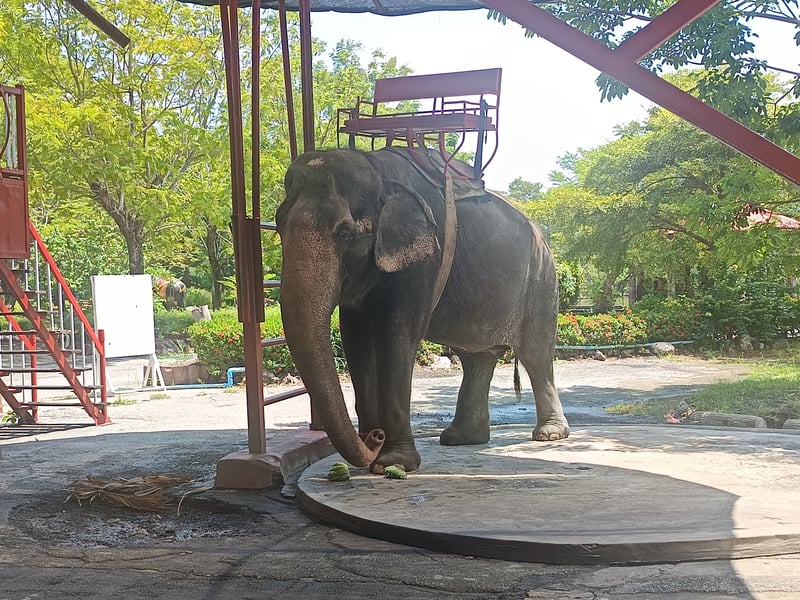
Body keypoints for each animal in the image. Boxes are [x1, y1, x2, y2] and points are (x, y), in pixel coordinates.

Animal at [276, 147, 569, 474]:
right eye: (278, 225)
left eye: (344, 232)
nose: (373, 437)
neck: (378, 170)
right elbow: (356, 340)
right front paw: (374, 457)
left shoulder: (428, 256)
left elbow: (397, 333)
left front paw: (393, 463)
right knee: (477, 358)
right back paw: (460, 438)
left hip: (541, 280)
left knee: (535, 355)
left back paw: (549, 434)